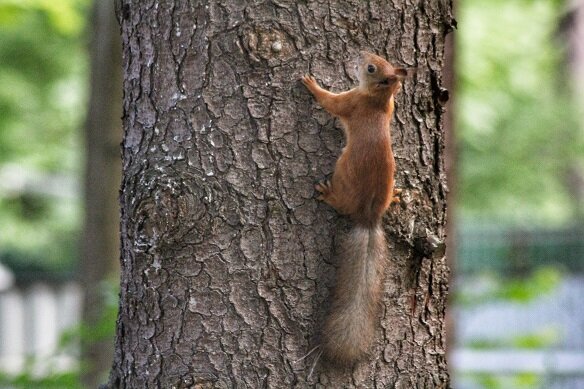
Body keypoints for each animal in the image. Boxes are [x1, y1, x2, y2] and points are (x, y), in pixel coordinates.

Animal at [302, 50, 406, 364]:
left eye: (370, 68)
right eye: (379, 60)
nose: (360, 54)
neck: (378, 99)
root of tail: (368, 217)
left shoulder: (350, 102)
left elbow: (330, 102)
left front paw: (312, 84)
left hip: (342, 170)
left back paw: (327, 195)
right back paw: (395, 197)